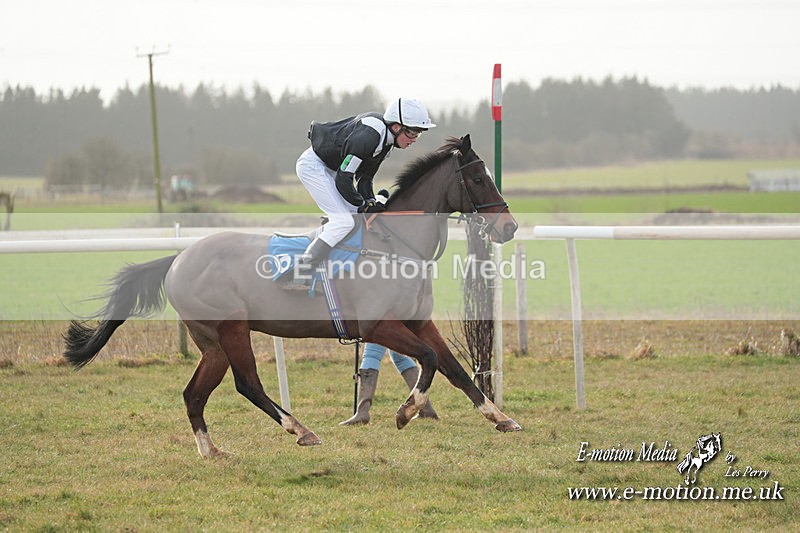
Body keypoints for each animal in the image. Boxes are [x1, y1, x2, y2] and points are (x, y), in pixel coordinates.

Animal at [63, 135, 522, 457]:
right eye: (478, 178)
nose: (510, 227)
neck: (395, 244)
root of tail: (179, 258)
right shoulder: (378, 325)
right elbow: (427, 360)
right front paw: (405, 412)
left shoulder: (417, 320)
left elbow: (455, 369)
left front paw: (501, 417)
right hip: (231, 330)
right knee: (247, 384)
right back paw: (301, 430)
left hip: (211, 342)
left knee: (194, 393)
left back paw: (212, 451)